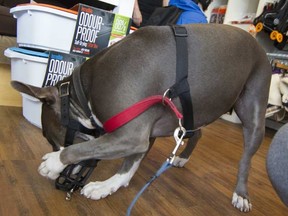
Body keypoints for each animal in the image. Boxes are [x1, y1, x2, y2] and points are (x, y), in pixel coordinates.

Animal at [11, 24, 272, 212]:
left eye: (56, 142)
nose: (62, 178)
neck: (83, 91)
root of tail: (257, 43)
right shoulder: (141, 135)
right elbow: (129, 165)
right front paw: (109, 186)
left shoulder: (130, 135)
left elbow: (88, 149)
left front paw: (54, 162)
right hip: (194, 112)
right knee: (198, 133)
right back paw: (182, 158)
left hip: (253, 113)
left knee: (246, 159)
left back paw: (241, 195)